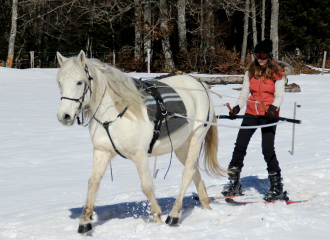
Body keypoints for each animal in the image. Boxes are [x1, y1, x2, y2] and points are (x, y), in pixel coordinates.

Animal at [57, 50, 227, 232]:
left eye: (79, 82)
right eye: (60, 83)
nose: (64, 116)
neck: (114, 115)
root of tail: (200, 85)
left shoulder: (140, 156)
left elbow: (147, 187)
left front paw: (157, 218)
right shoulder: (102, 152)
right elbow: (93, 183)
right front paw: (85, 221)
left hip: (197, 136)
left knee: (187, 173)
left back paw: (174, 214)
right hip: (181, 146)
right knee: (194, 170)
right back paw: (205, 204)